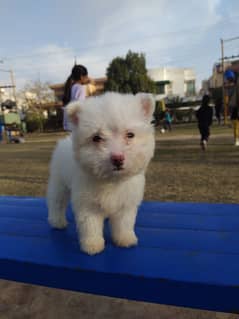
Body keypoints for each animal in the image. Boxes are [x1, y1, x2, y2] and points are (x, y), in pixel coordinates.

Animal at [47, 92, 155, 255]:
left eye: (130, 135)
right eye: (96, 138)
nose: (117, 158)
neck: (111, 180)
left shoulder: (126, 203)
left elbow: (124, 223)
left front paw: (125, 239)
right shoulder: (87, 204)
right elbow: (90, 225)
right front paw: (92, 245)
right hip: (59, 184)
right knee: (57, 202)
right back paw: (57, 222)